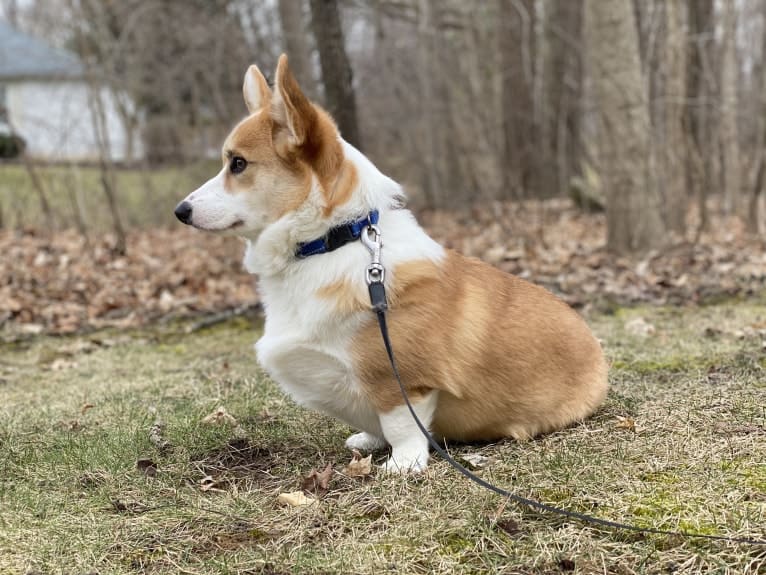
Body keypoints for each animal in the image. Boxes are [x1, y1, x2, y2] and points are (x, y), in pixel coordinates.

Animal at [176, 56, 612, 474]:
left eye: (238, 164)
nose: (180, 211)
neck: (331, 241)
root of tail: (595, 350)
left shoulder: (401, 381)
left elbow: (401, 422)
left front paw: (402, 465)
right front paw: (369, 442)